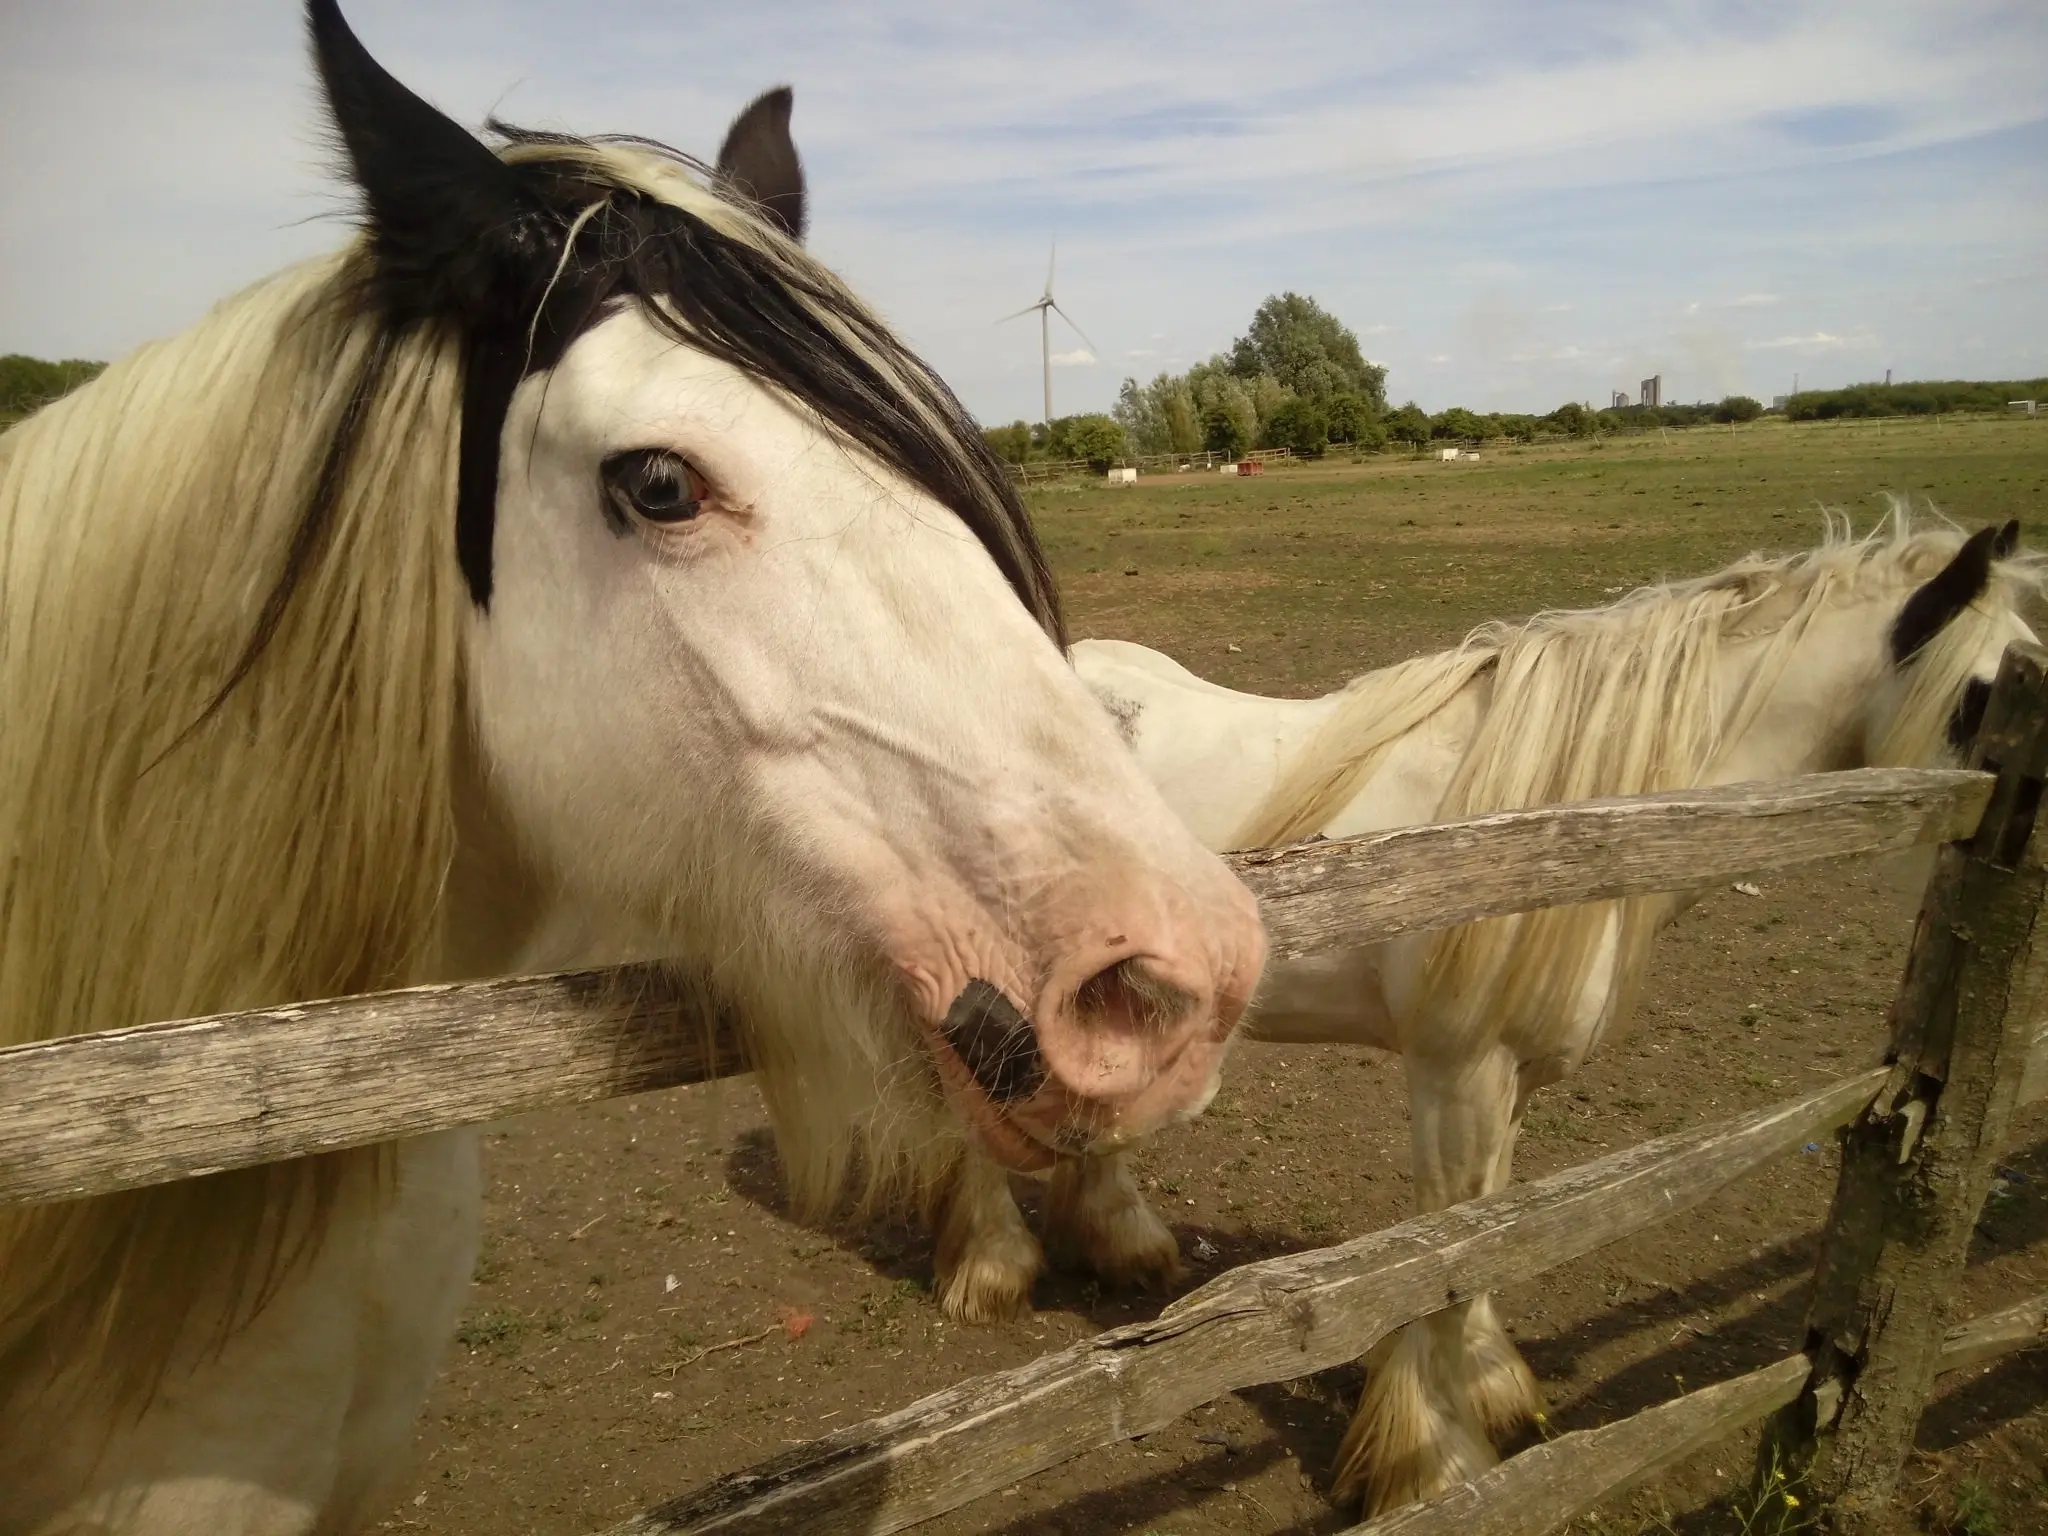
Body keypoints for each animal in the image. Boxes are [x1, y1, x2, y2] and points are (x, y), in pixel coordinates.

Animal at [950, 507, 2039, 1515]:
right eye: (1988, 694)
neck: (1554, 830)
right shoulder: (1458, 1075)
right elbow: (1444, 1256)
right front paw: (1432, 1467)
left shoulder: (1514, 1081)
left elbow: (1495, 1234)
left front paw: (1491, 1398)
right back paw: (993, 1270)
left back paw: (1118, 1242)